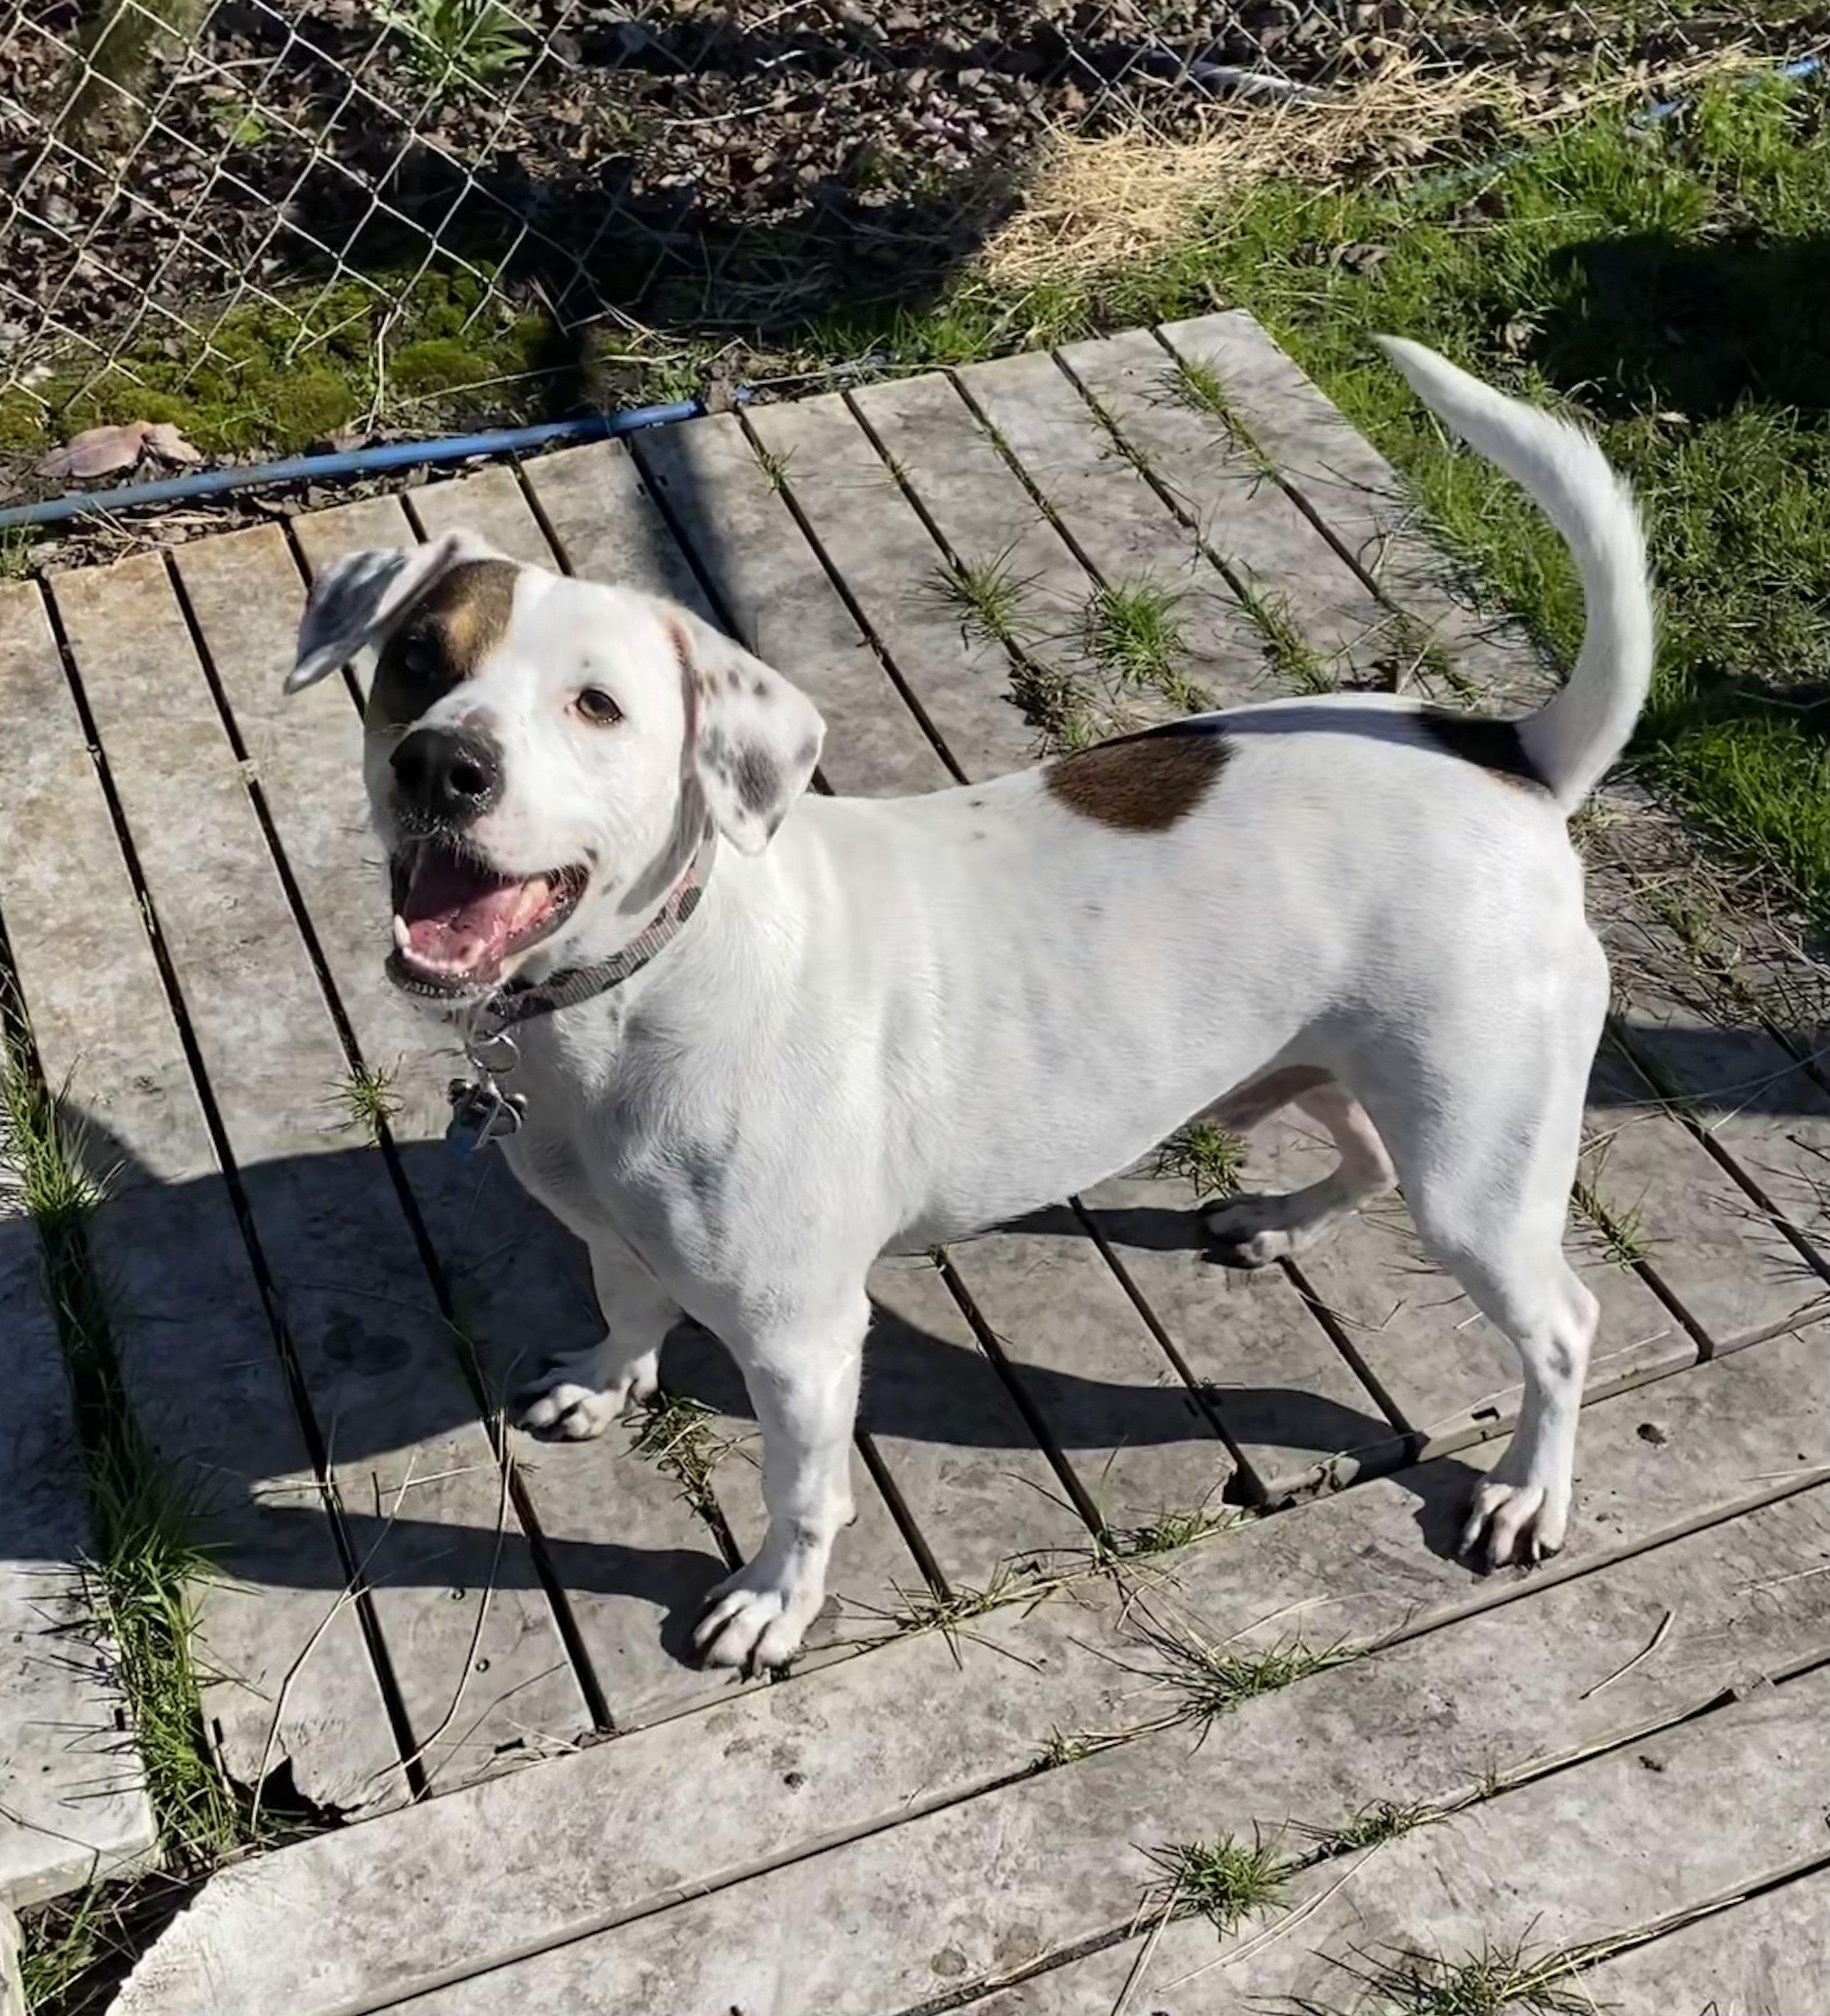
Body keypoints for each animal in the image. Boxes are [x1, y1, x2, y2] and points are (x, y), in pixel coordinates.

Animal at [290, 342, 1660, 1669]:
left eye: (597, 706)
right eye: (416, 659)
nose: (440, 765)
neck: (626, 995)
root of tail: (1511, 753)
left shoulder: (798, 1336)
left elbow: (801, 1492)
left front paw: (774, 1604)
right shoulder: (610, 1233)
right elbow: (628, 1306)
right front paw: (604, 1382)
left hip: (1477, 1163)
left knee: (1561, 1325)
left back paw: (1526, 1491)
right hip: (1347, 1068)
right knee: (1368, 1155)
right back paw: (1278, 1218)